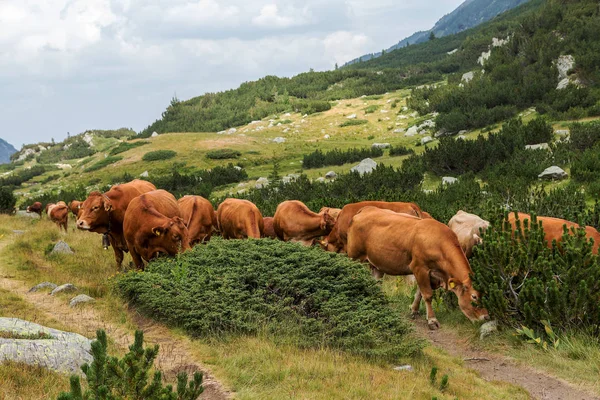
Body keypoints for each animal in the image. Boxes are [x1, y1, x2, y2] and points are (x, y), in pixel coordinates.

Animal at [344, 208, 490, 330]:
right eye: (474, 296)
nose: (486, 317)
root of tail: (365, 209)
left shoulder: (431, 274)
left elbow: (419, 293)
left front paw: (414, 310)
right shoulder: (419, 267)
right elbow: (427, 295)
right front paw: (432, 320)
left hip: (377, 264)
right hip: (354, 257)